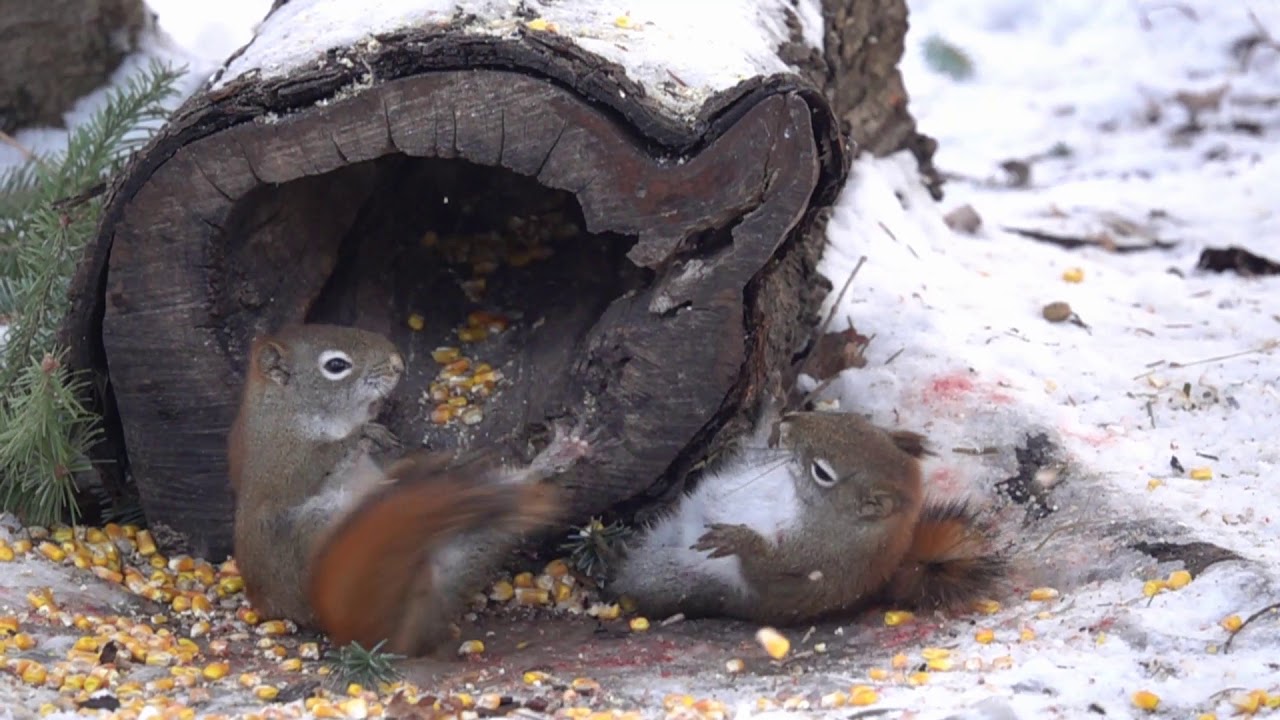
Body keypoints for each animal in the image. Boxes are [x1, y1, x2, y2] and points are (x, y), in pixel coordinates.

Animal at [228, 323, 589, 655]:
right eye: (336, 365)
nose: (397, 363)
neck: (288, 415)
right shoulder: (283, 467)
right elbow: (322, 461)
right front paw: (364, 435)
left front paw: (378, 433)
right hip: (319, 530)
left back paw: (554, 457)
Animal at [607, 408, 1005, 625]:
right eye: (850, 419)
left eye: (823, 473)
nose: (789, 421)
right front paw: (770, 406)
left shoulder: (809, 566)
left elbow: (763, 574)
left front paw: (741, 540)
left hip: (663, 573)